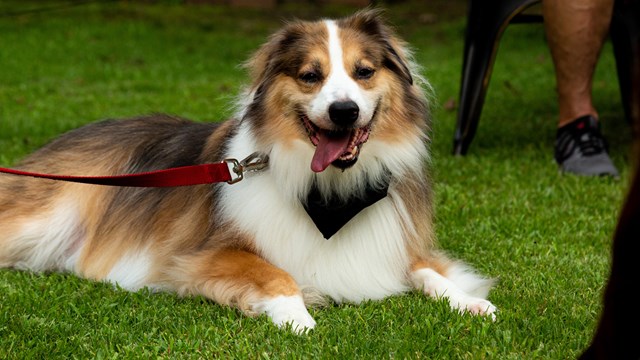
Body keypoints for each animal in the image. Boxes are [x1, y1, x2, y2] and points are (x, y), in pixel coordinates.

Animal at [0, 9, 498, 334]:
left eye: (364, 71)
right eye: (310, 76)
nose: (344, 111)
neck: (332, 192)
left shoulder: (395, 244)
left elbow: (431, 271)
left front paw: (470, 302)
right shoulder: (198, 256)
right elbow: (276, 274)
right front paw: (296, 317)